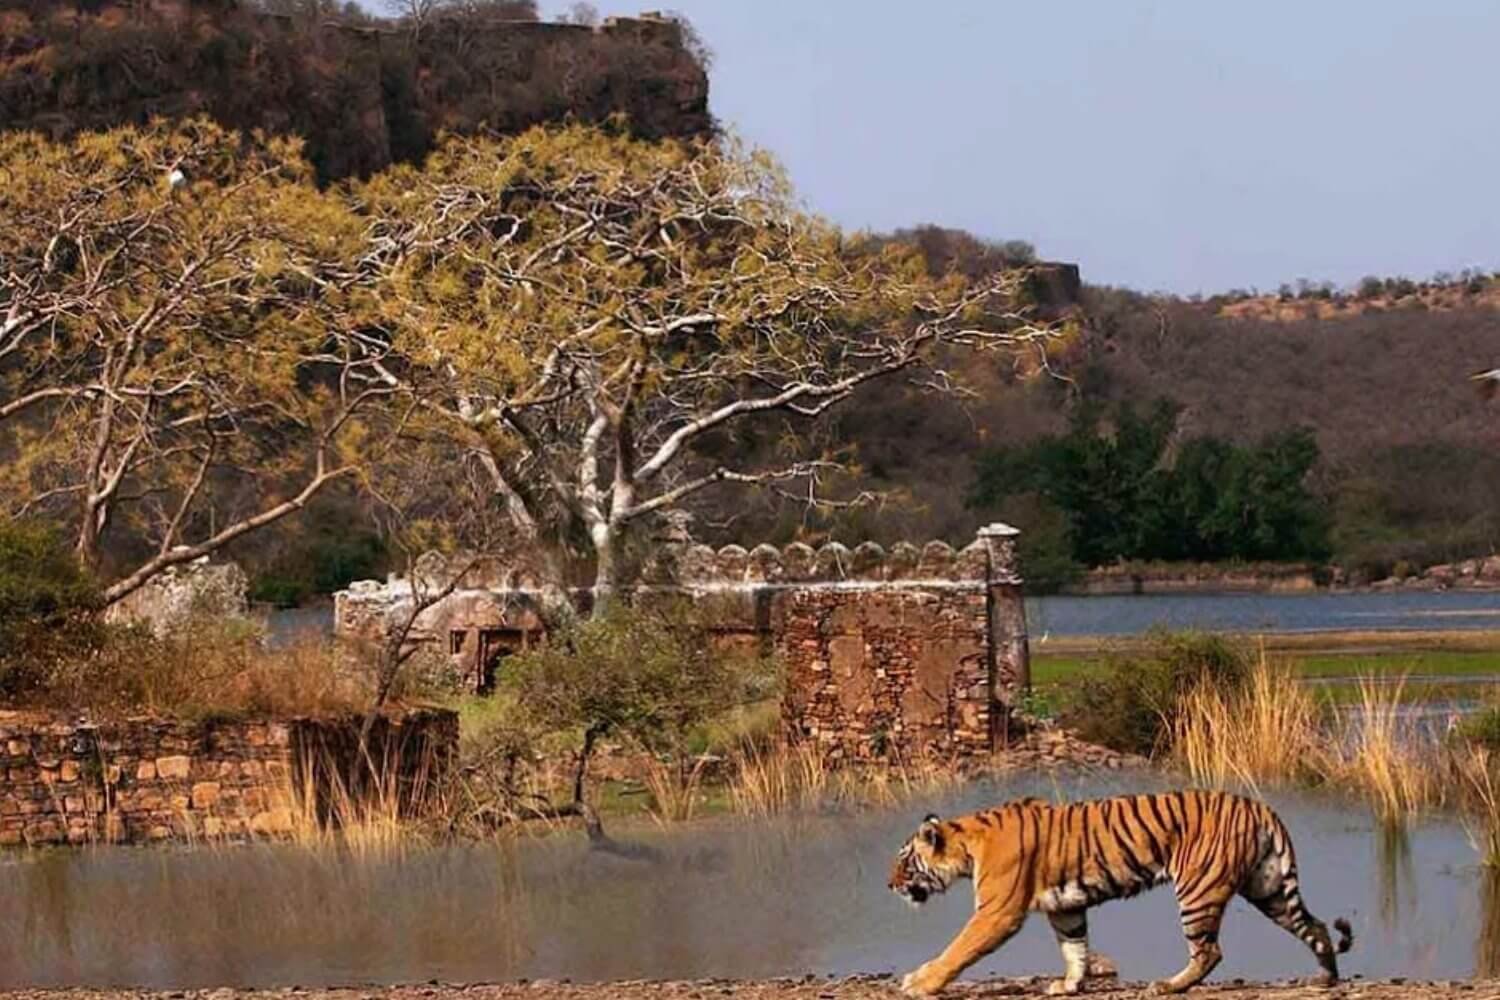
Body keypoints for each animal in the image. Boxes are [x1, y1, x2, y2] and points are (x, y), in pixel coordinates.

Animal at [887, 790, 1353, 996]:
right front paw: (1068, 985)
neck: (967, 844)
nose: (889, 885)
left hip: (1198, 890)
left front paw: (920, 982)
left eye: (905, 862)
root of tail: (1261, 806)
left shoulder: (996, 912)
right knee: (1314, 927)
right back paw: (1325, 977)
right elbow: (1074, 947)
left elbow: (957, 950)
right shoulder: (1065, 907)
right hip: (1268, 887)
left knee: (1209, 951)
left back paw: (1167, 986)